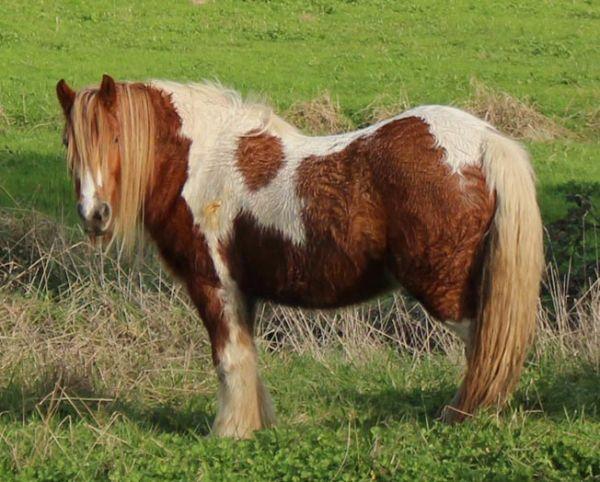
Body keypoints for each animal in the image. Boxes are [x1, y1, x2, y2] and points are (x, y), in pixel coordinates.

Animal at [56, 74, 544, 436]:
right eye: (68, 143)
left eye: (115, 138)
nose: (94, 215)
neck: (202, 164)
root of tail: (483, 142)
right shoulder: (242, 293)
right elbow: (248, 358)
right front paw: (256, 425)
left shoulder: (215, 285)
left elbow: (229, 359)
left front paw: (229, 433)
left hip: (445, 289)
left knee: (485, 349)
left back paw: (466, 415)